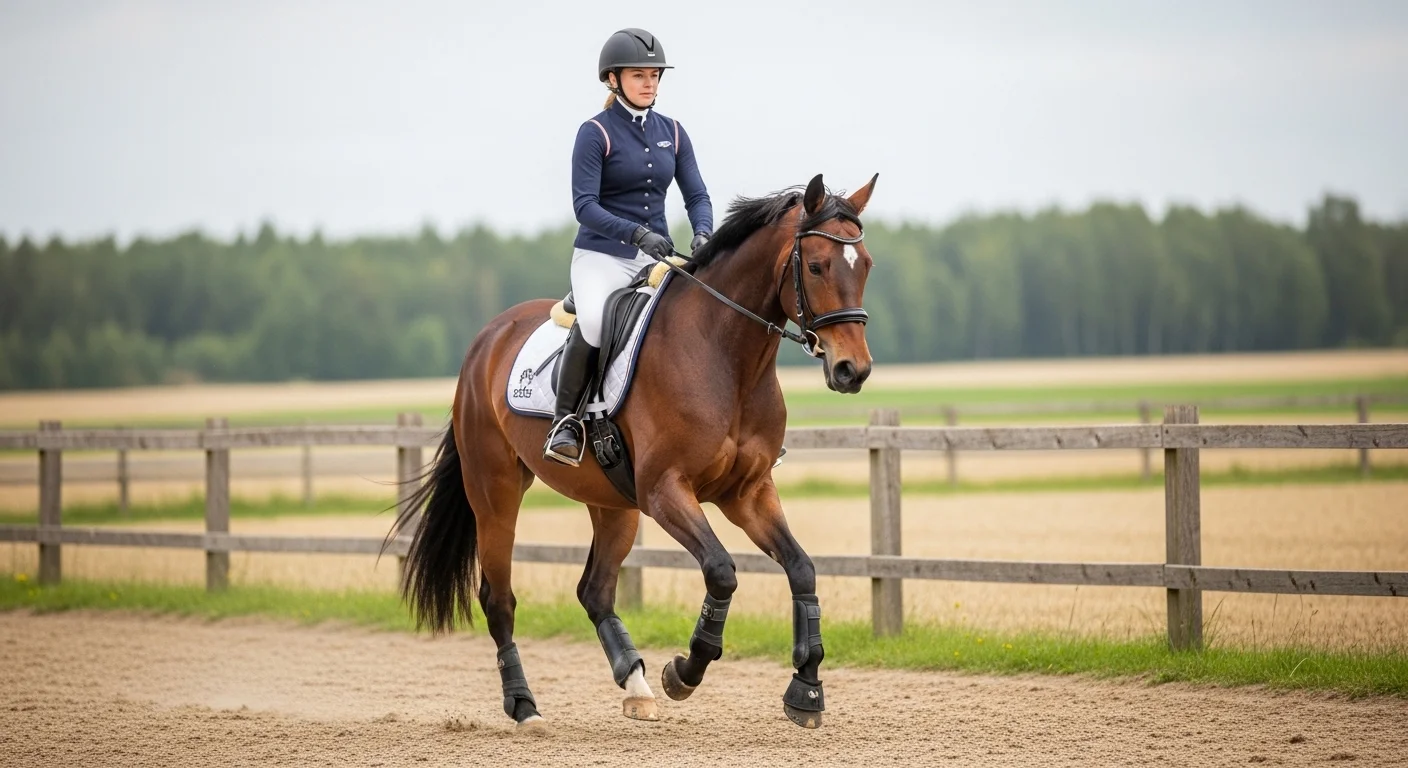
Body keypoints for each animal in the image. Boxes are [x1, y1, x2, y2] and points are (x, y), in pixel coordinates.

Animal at [389, 172, 877, 730]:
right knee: (499, 599)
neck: (724, 355)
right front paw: (685, 671)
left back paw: (635, 684)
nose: (852, 370)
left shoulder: (747, 492)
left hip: (612, 503)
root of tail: (486, 339)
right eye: (816, 265)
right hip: (495, 492)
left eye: (865, 264)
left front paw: (806, 687)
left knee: (595, 590)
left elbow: (802, 568)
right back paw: (525, 706)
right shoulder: (666, 491)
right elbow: (721, 572)